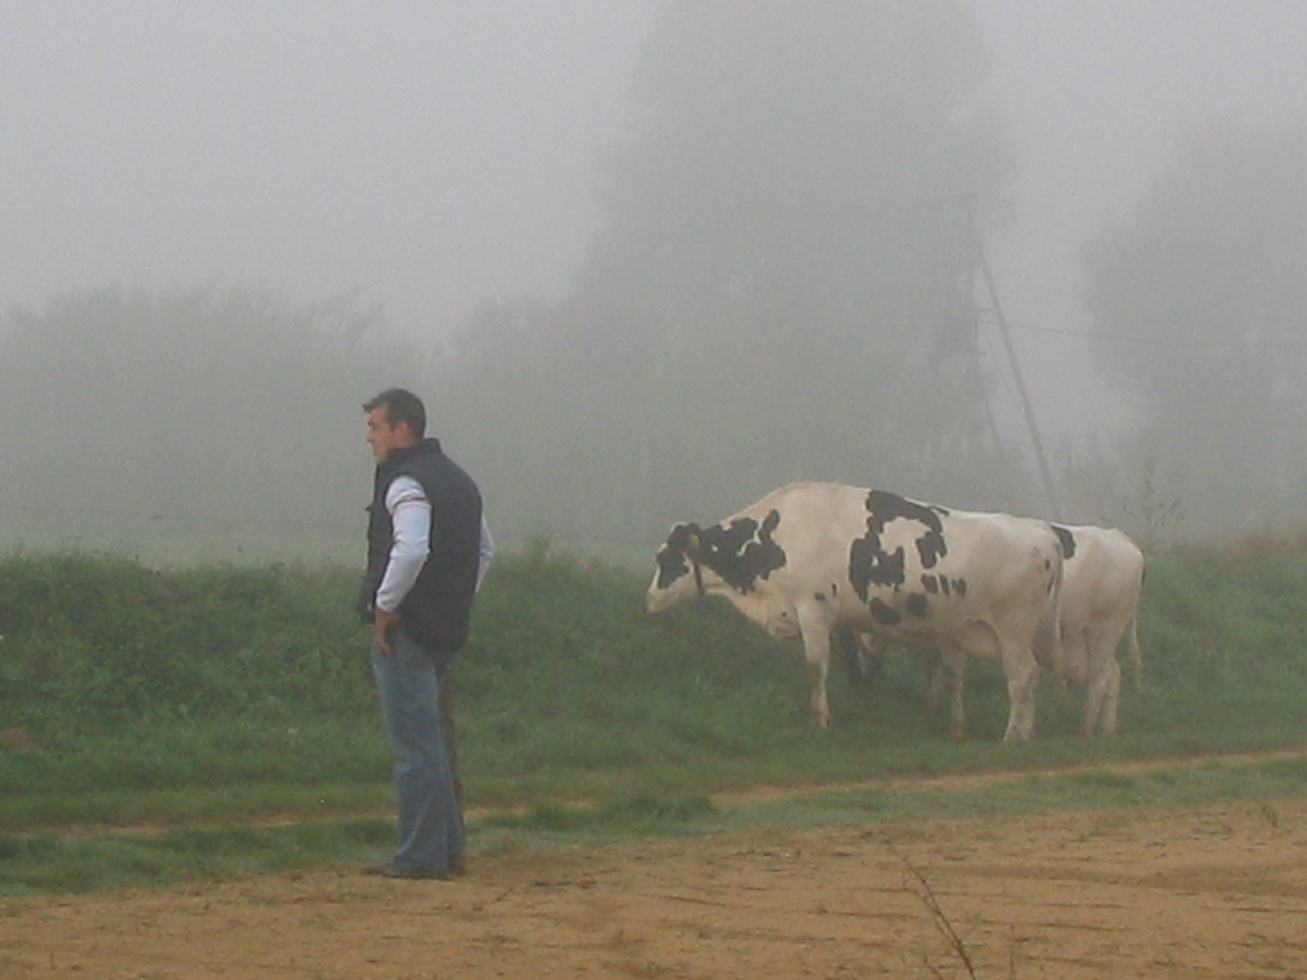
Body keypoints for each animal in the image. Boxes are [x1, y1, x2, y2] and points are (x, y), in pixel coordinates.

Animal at [643, 480, 1061, 742]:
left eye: (666, 559)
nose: (648, 600)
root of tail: (1044, 535)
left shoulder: (813, 610)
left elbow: (816, 669)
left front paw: (820, 721)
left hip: (1013, 628)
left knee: (1023, 677)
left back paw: (1015, 735)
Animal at [846, 522, 1144, 736]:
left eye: (861, 640)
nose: (862, 678)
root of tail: (1121, 538)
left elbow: (951, 674)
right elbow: (940, 671)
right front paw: (935, 706)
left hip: (1103, 630)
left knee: (1099, 676)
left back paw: (1086, 729)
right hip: (1074, 646)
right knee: (1113, 673)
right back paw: (1107, 728)